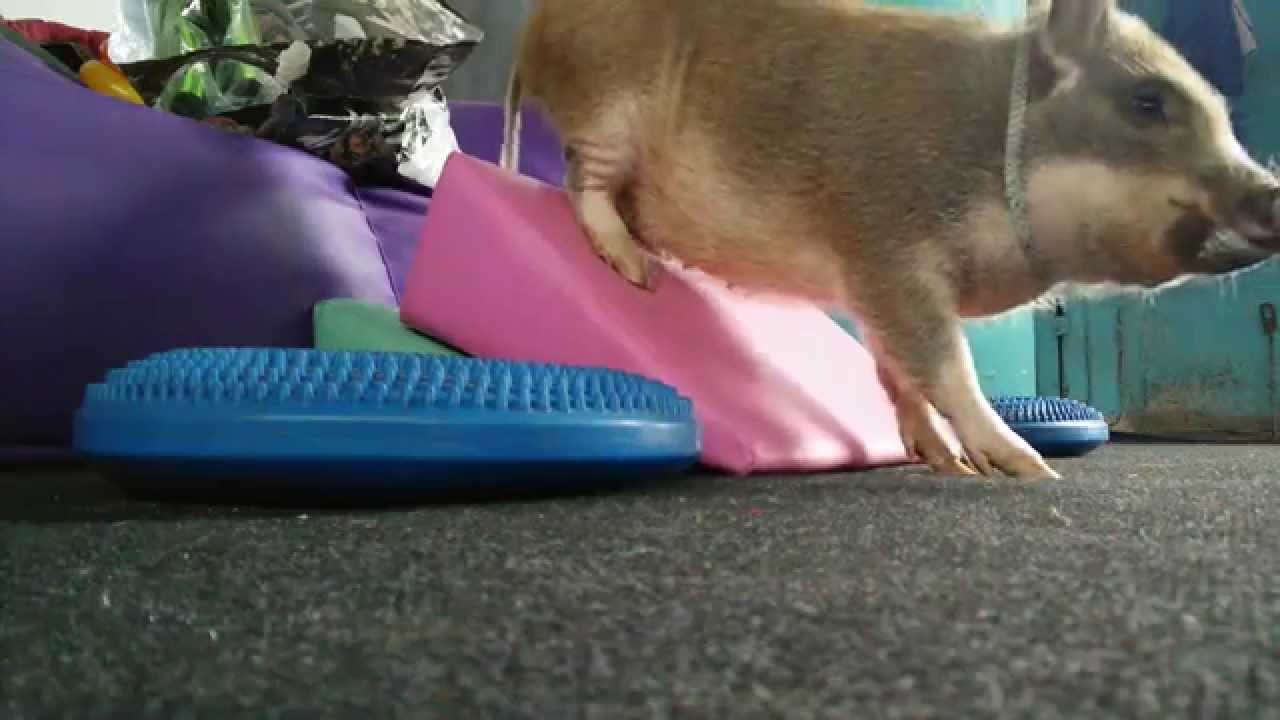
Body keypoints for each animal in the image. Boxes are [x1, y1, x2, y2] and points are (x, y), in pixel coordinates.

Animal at [499, 0, 1280, 480]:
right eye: (1148, 103)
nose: (1272, 193)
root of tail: (534, 32)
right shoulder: (887, 245)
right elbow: (947, 366)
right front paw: (1030, 471)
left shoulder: (868, 281)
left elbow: (895, 368)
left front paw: (945, 463)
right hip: (604, 107)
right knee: (583, 182)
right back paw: (635, 273)